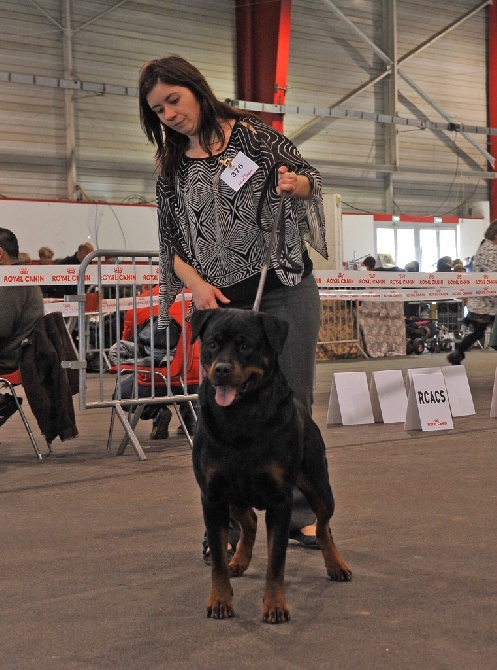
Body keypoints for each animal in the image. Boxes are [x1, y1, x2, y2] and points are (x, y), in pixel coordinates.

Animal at [190, 310, 348, 624]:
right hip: (234, 495)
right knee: (249, 521)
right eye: (212, 344)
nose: (222, 369)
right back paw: (238, 560)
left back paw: (336, 565)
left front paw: (275, 606)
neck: (240, 417)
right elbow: (218, 559)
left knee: (323, 526)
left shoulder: (280, 499)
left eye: (245, 346)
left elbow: (276, 561)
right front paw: (220, 600)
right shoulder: (212, 496)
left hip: (319, 485)